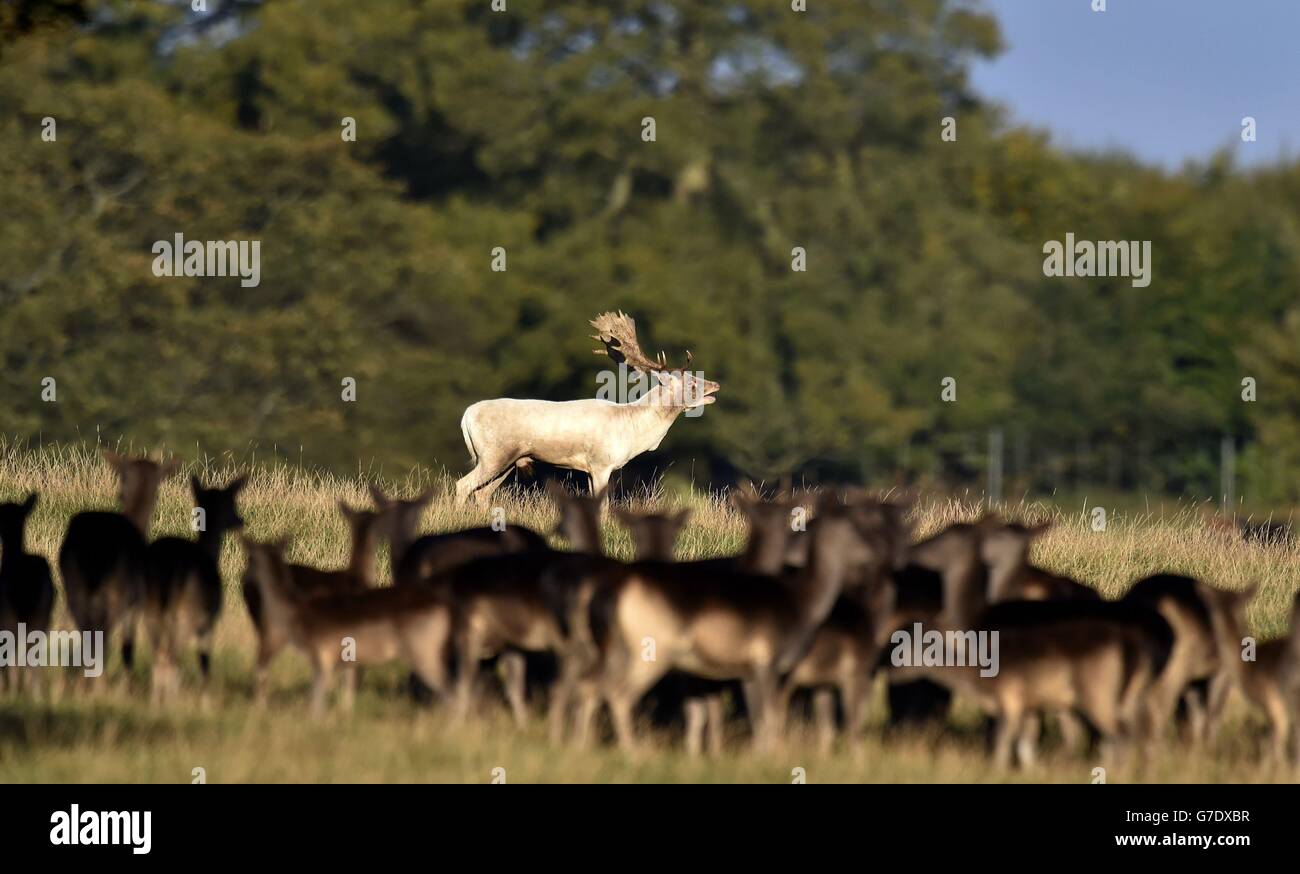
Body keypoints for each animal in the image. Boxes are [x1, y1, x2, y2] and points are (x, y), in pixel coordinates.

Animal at [142, 473, 245, 707]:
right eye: (231, 503)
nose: (241, 521)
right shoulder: (209, 620)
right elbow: (204, 662)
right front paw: (205, 704)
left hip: (151, 610)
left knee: (159, 653)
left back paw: (156, 702)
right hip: (186, 613)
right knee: (172, 655)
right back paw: (171, 701)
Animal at [457, 314, 722, 504]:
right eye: (692, 383)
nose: (715, 385)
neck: (631, 431)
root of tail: (467, 416)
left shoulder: (591, 469)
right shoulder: (601, 463)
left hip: (508, 460)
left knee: (481, 493)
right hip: (494, 454)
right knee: (463, 486)